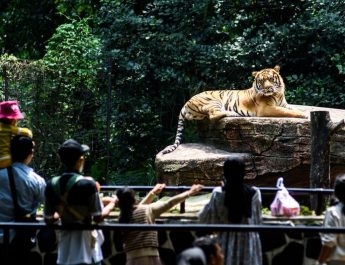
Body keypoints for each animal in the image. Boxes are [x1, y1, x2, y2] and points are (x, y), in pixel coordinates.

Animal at [160, 64, 308, 154]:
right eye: (261, 81)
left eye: (271, 79)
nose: (268, 88)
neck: (277, 94)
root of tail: (185, 103)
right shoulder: (267, 109)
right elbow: (289, 112)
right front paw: (305, 116)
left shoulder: (284, 104)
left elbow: (294, 108)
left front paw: (306, 112)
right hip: (213, 101)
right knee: (213, 115)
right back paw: (233, 114)